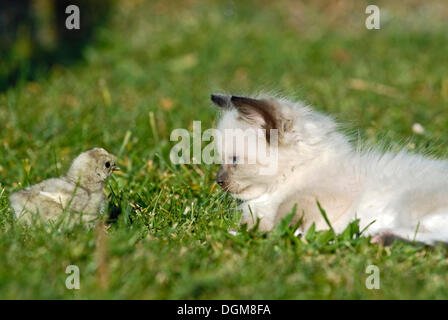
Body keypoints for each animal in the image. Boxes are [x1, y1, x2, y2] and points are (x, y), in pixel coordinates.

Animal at [212, 92, 448, 245]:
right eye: (222, 161)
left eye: (234, 161)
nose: (218, 180)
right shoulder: (257, 214)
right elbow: (253, 224)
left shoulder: (321, 199)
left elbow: (287, 214)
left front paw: (279, 233)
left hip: (408, 206)